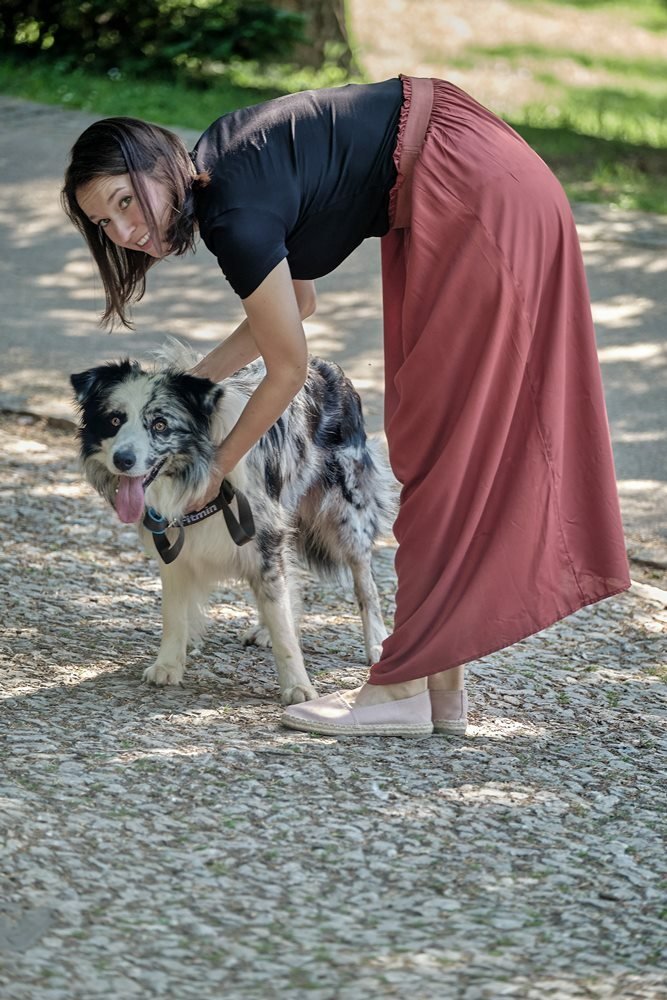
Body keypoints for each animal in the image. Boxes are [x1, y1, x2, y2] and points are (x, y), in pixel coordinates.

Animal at [72, 342, 396, 704]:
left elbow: (283, 625)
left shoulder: (266, 537)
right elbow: (174, 614)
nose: (123, 460)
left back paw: (376, 642)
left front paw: (297, 685)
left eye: (160, 425)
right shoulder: (173, 544)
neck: (198, 473)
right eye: (114, 420)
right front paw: (168, 664)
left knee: (364, 580)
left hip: (346, 514)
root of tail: (325, 364)